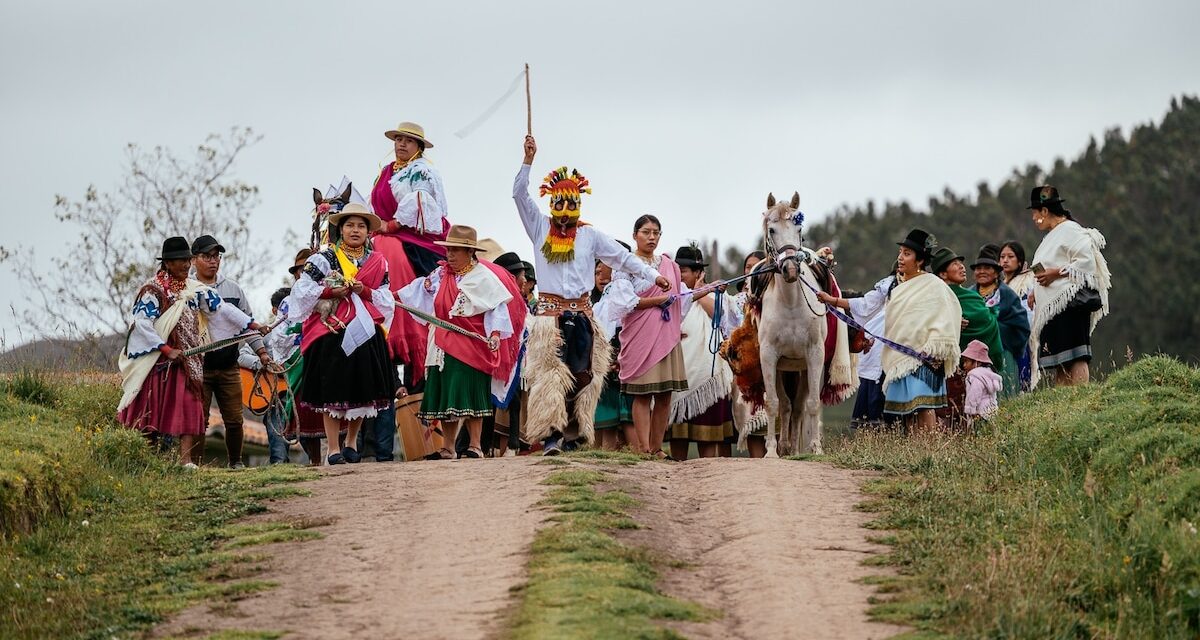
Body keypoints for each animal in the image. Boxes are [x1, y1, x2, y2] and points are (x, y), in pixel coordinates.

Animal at [753, 192, 830, 456]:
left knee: (797, 407)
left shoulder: (814, 354)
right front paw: (771, 451)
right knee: (786, 405)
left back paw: (796, 450)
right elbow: (773, 403)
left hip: (802, 367)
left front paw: (816, 448)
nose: (790, 269)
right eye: (772, 229)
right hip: (783, 368)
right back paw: (785, 446)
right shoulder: (769, 356)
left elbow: (812, 404)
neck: (791, 302)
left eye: (799, 229)